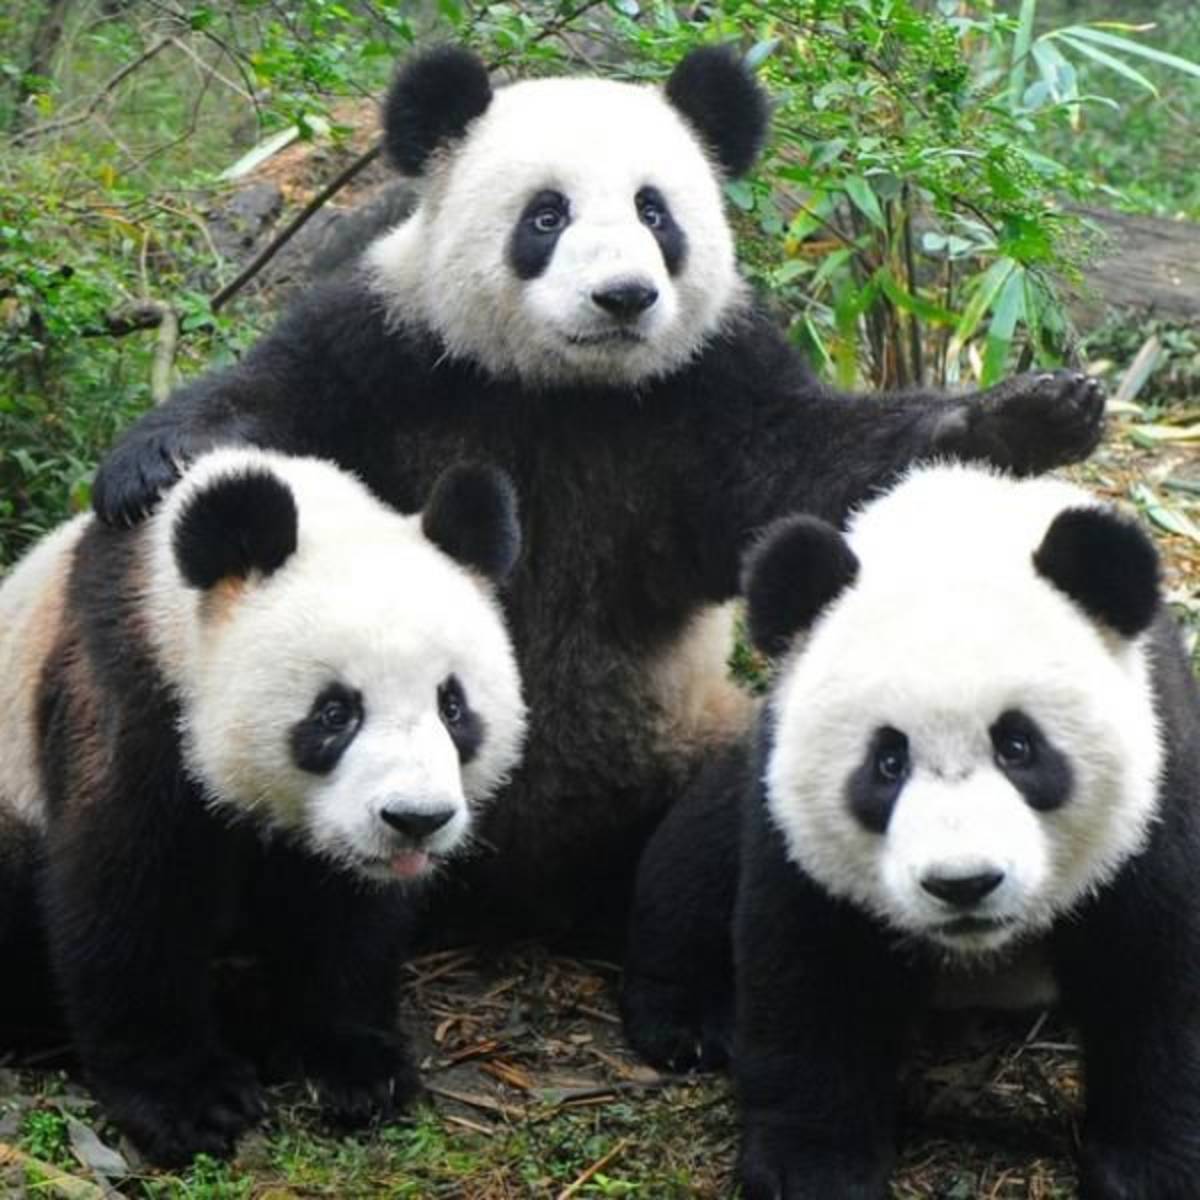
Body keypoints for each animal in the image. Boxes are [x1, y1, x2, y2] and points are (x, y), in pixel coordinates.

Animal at [0, 448, 526, 1166]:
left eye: (453, 705)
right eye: (334, 713)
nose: (416, 820)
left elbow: (347, 915)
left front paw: (357, 1064)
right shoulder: (127, 693)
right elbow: (130, 893)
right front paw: (193, 1101)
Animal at [89, 43, 1105, 946]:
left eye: (656, 213)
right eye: (547, 216)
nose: (623, 297)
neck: (565, 389)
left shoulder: (708, 390)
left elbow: (812, 471)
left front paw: (1032, 416)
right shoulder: (391, 351)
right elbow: (275, 401)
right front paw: (150, 468)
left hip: (686, 737)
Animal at [622, 462, 1200, 1199]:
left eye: (1019, 746)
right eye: (888, 761)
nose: (963, 884)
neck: (954, 531)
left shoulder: (1157, 785)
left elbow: (1159, 971)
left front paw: (1151, 1170)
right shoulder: (789, 814)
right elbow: (813, 973)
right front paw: (816, 1170)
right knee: (694, 858)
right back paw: (688, 1022)